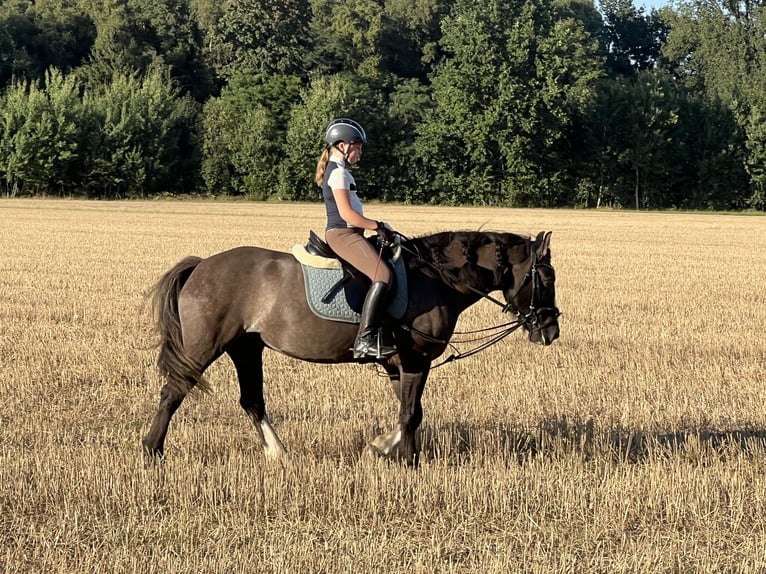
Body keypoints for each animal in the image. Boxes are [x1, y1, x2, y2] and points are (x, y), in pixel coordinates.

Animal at [143, 230, 560, 466]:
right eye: (546, 277)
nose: (551, 330)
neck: (436, 279)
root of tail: (201, 266)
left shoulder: (397, 363)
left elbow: (408, 412)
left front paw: (386, 450)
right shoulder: (416, 360)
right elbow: (411, 414)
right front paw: (404, 459)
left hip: (246, 347)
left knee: (252, 401)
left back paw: (280, 455)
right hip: (204, 347)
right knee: (173, 393)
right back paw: (152, 451)